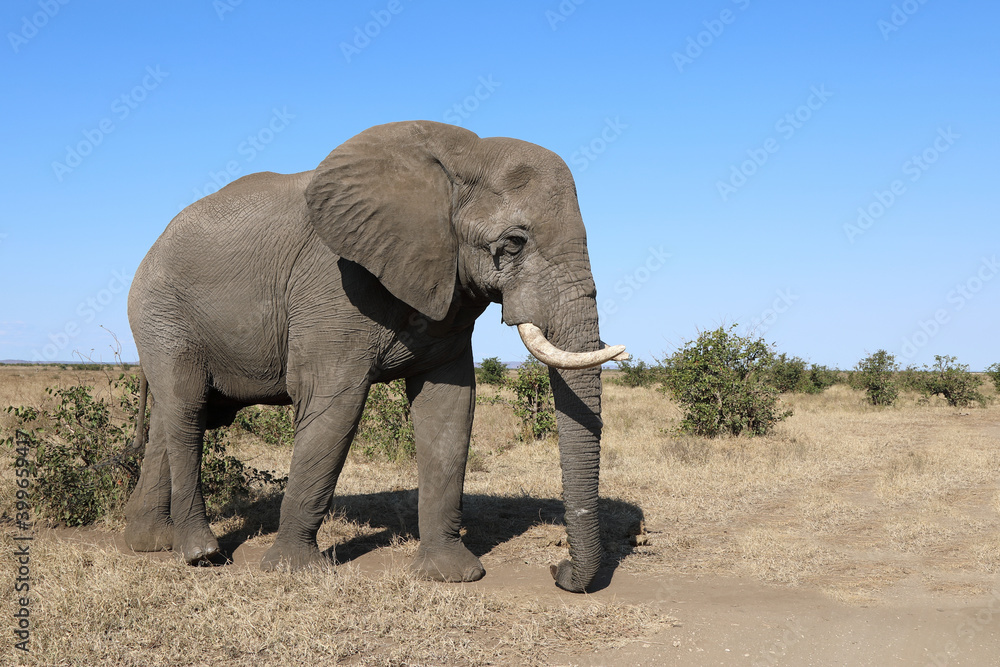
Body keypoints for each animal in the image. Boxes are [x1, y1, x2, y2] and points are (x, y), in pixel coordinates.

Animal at [122, 120, 626, 593]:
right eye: (515, 241)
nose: (558, 571)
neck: (458, 157)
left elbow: (449, 410)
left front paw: (450, 576)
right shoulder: (334, 285)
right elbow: (334, 404)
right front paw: (295, 571)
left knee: (174, 420)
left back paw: (150, 544)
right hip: (161, 315)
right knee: (187, 410)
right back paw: (200, 554)